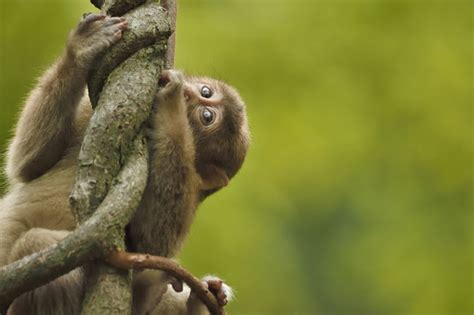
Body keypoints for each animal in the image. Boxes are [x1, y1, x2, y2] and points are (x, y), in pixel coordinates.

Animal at [0, 11, 250, 314]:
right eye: (206, 91)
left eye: (206, 117)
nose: (189, 93)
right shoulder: (89, 112)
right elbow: (27, 162)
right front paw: (81, 51)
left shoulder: (191, 188)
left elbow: (152, 242)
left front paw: (171, 104)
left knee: (36, 242)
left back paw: (172, 298)